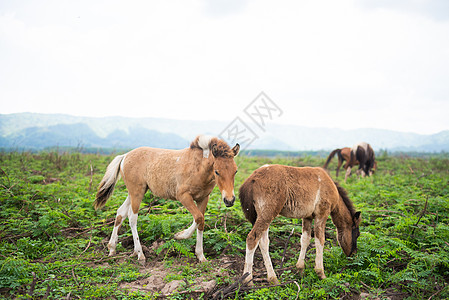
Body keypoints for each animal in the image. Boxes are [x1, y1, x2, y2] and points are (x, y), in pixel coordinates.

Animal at [94, 135, 240, 262]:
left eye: (236, 171)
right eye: (217, 171)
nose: (229, 200)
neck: (198, 168)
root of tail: (125, 156)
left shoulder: (203, 198)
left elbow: (201, 221)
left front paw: (201, 256)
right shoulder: (183, 196)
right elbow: (199, 218)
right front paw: (180, 235)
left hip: (135, 192)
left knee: (121, 213)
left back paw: (113, 249)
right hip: (137, 192)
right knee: (132, 217)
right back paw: (140, 254)